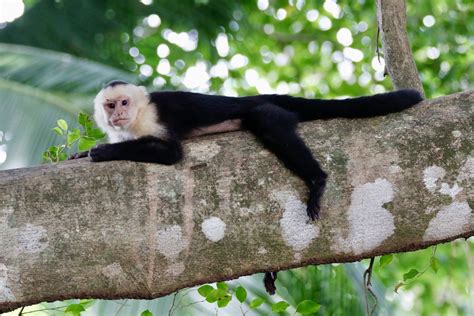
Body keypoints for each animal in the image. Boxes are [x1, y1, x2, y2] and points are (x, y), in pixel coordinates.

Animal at [70, 81, 422, 294]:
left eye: (124, 102)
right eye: (110, 106)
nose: (118, 114)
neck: (136, 119)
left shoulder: (151, 119)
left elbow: (171, 154)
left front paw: (102, 152)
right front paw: (81, 154)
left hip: (267, 110)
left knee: (264, 118)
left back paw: (317, 180)